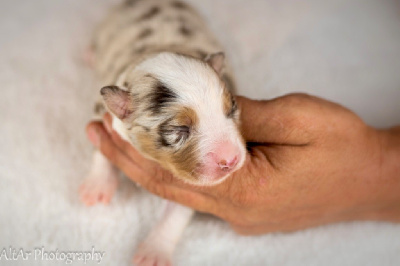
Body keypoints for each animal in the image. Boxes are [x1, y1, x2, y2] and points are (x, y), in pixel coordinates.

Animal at [79, 1, 245, 264]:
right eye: (180, 129)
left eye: (231, 109)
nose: (231, 159)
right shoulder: (103, 109)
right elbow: (101, 142)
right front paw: (97, 186)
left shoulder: (189, 184)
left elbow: (177, 212)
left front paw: (153, 252)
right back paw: (89, 53)